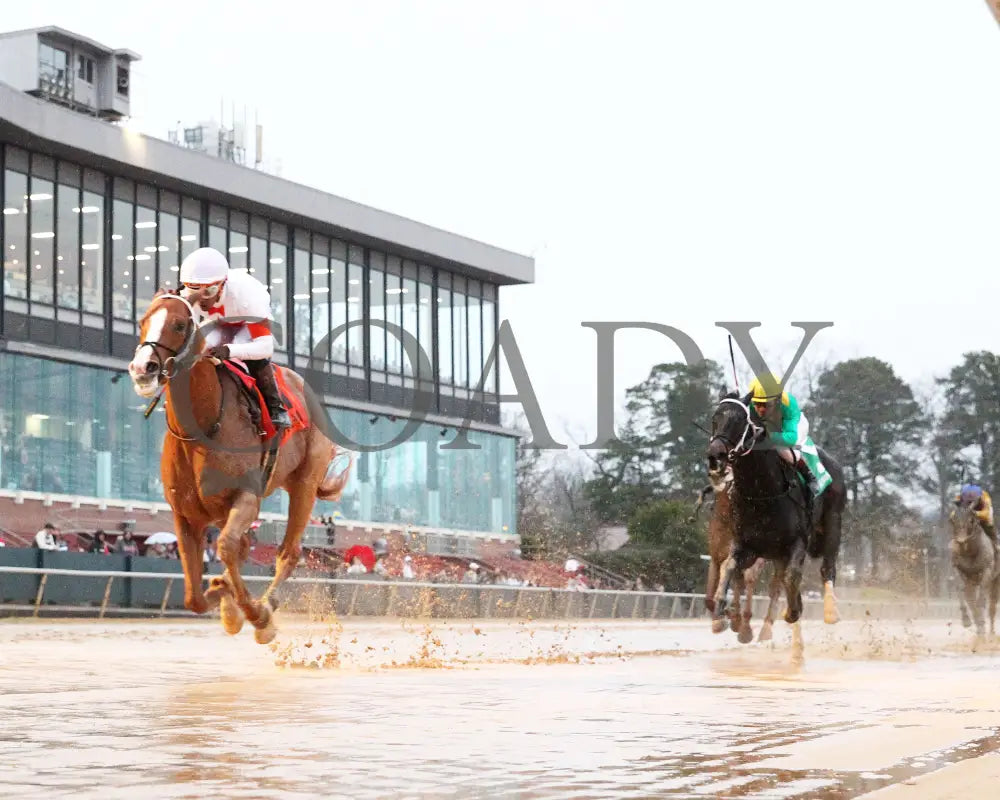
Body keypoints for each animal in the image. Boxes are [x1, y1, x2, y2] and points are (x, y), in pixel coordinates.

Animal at [128, 290, 352, 640]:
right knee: (245, 546)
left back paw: (266, 609)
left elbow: (227, 546)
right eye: (142, 321)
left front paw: (254, 612)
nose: (143, 368)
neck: (203, 427)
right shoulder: (185, 513)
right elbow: (194, 597)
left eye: (179, 324)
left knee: (287, 552)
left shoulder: (247, 497)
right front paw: (224, 595)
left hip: (304, 483)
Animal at [704, 390, 852, 636]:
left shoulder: (797, 542)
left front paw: (792, 612)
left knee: (827, 567)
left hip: (833, 521)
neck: (762, 494)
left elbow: (792, 576)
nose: (715, 455)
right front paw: (721, 612)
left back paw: (830, 612)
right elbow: (730, 566)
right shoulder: (746, 545)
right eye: (715, 418)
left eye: (740, 421)